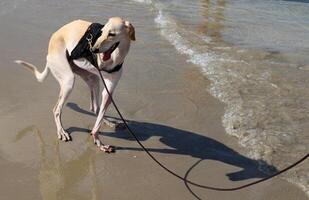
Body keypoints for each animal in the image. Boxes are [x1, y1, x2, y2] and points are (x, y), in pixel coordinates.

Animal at [14, 17, 135, 152]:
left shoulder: (108, 91)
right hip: (68, 80)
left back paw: (108, 121)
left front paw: (98, 139)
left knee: (95, 108)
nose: (93, 50)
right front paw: (98, 141)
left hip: (91, 78)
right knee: (56, 110)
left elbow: (101, 112)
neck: (113, 58)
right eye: (101, 32)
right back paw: (61, 131)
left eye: (112, 34)